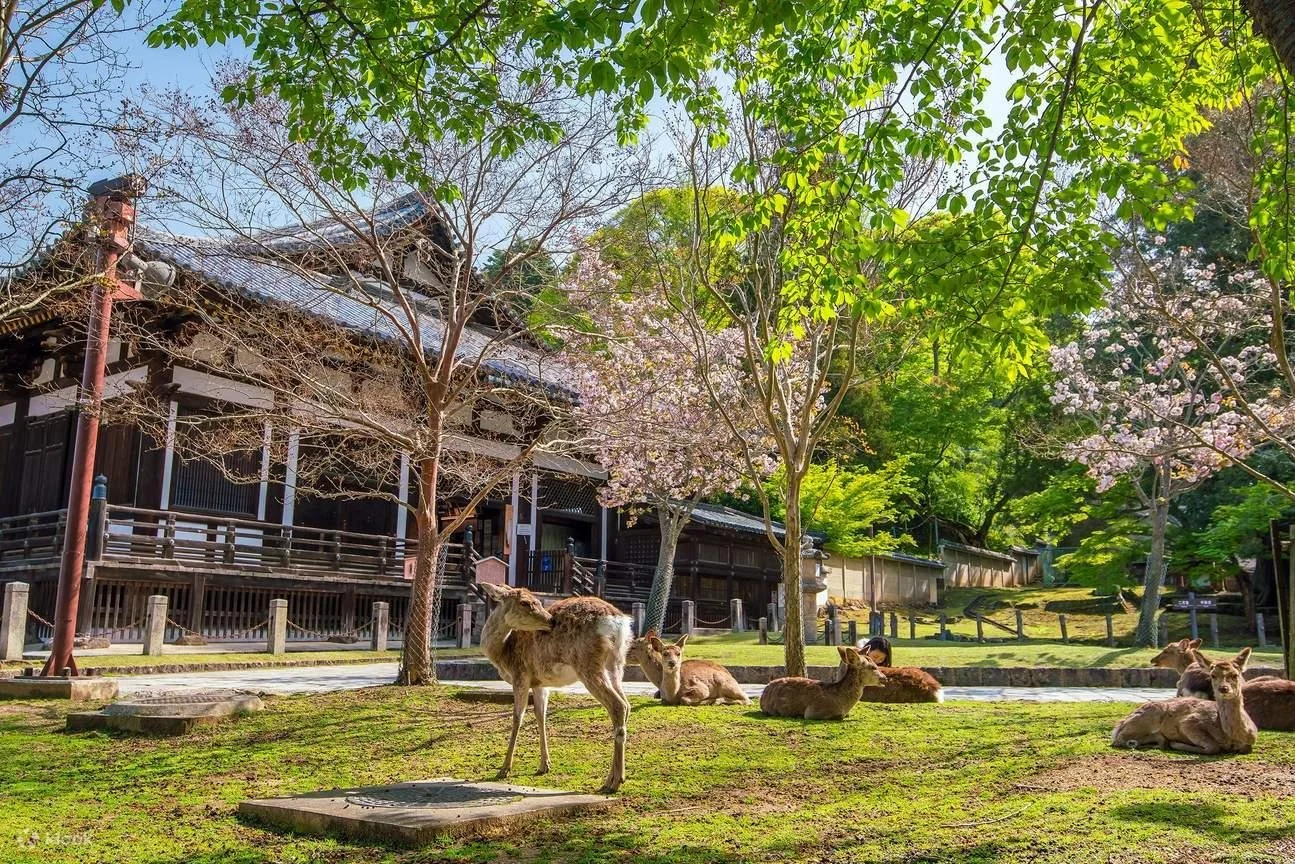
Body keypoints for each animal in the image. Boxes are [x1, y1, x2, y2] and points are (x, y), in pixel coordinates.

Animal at [476, 583, 633, 793]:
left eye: (537, 600)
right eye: (524, 602)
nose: (551, 621)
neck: (502, 652)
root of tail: (619, 623)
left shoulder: (521, 675)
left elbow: (517, 718)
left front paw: (504, 769)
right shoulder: (540, 683)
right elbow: (540, 716)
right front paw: (544, 765)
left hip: (588, 664)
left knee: (617, 706)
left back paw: (614, 782)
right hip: (616, 664)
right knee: (626, 705)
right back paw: (614, 778)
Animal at [1112, 647, 1258, 754]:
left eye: (1235, 675)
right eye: (1213, 675)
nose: (1223, 688)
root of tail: (1119, 724)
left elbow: (1246, 748)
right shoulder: (1189, 723)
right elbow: (1213, 747)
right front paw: (1177, 743)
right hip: (1148, 717)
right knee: (1120, 738)